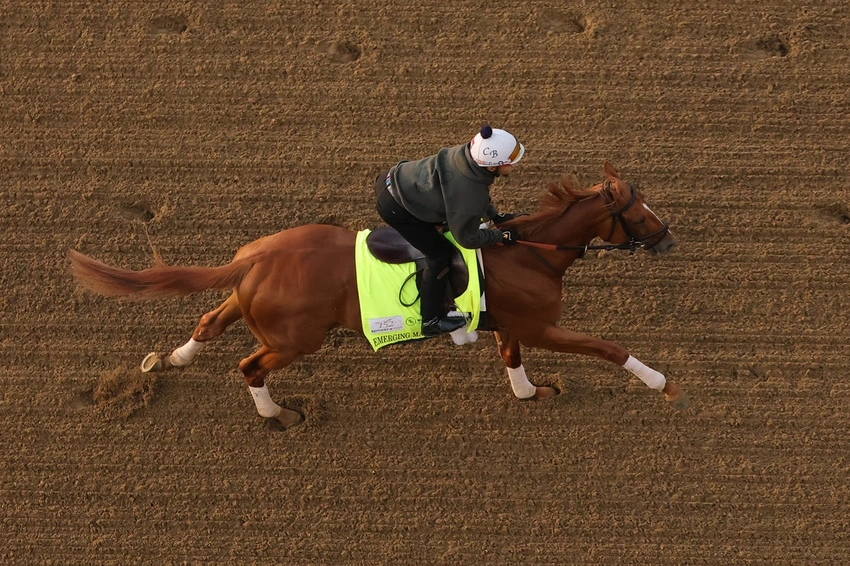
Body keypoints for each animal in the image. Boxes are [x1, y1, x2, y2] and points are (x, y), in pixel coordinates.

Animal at [68, 162, 688, 430]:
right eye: (638, 211)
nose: (668, 238)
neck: (529, 251)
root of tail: (255, 256)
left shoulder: (513, 324)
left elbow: (511, 358)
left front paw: (531, 392)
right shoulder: (539, 324)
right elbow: (605, 347)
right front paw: (662, 383)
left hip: (250, 303)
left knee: (207, 321)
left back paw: (167, 360)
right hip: (296, 337)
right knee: (249, 366)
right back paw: (280, 414)